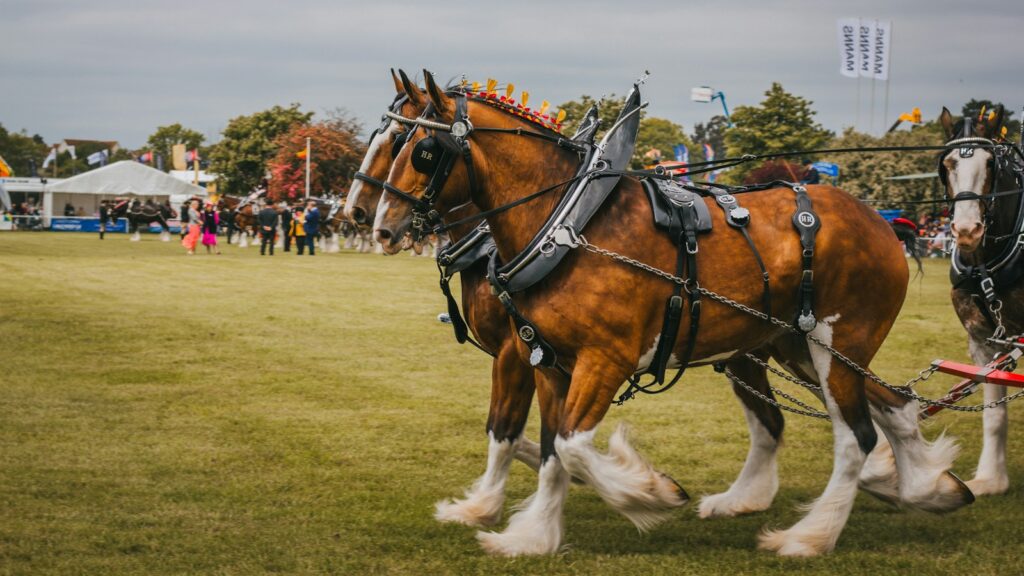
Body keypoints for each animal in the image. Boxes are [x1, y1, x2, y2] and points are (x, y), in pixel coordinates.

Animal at [373, 70, 973, 557]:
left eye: (419, 148)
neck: (566, 226)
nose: (374, 224)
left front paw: (648, 492)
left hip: (835, 345)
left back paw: (811, 536)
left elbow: (569, 446)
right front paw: (534, 534)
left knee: (856, 436)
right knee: (889, 406)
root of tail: (882, 223)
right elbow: (546, 447)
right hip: (795, 346)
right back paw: (923, 486)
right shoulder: (546, 359)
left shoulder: (602, 359)